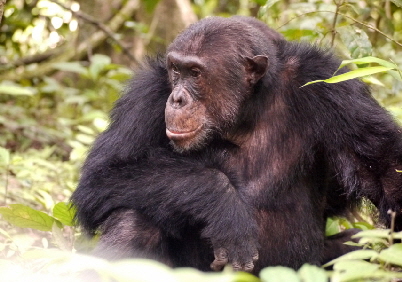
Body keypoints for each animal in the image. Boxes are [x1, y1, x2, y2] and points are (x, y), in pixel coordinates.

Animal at [71, 16, 402, 274]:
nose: (177, 98)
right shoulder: (146, 95)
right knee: (133, 218)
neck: (245, 112)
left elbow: (383, 165)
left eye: (195, 73)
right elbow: (102, 177)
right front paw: (225, 209)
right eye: (176, 70)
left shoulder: (331, 85)